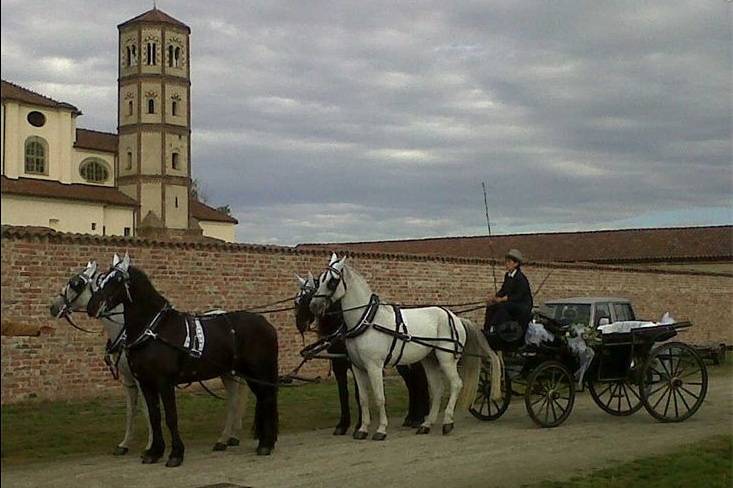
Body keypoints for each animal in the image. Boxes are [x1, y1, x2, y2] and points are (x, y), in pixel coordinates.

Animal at [49, 262, 249, 456]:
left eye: (76, 283)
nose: (53, 307)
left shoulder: (144, 380)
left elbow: (147, 411)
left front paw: (150, 444)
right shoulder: (129, 380)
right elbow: (132, 411)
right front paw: (125, 444)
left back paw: (230, 436)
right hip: (227, 373)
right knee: (233, 399)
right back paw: (227, 438)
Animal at [88, 254, 278, 468]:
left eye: (118, 279)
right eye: (102, 278)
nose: (92, 306)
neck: (154, 330)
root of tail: (265, 323)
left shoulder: (164, 382)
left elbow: (171, 417)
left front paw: (175, 454)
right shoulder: (146, 383)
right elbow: (154, 416)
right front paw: (154, 452)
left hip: (259, 370)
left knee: (267, 398)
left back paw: (265, 445)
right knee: (263, 399)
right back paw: (264, 441)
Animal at [294, 274, 428, 434]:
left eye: (309, 296)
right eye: (297, 300)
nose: (300, 324)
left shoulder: (358, 364)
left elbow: (359, 394)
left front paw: (359, 424)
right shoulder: (339, 365)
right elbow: (343, 393)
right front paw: (342, 425)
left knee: (419, 381)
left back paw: (420, 417)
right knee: (411, 383)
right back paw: (411, 417)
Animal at [308, 254, 504, 440]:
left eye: (332, 281)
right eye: (320, 278)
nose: (314, 305)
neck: (367, 320)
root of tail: (455, 317)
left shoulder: (374, 366)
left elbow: (379, 398)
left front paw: (381, 430)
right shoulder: (357, 367)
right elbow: (363, 399)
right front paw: (362, 429)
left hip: (446, 358)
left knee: (456, 384)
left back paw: (447, 422)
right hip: (430, 360)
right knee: (437, 390)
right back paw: (426, 424)